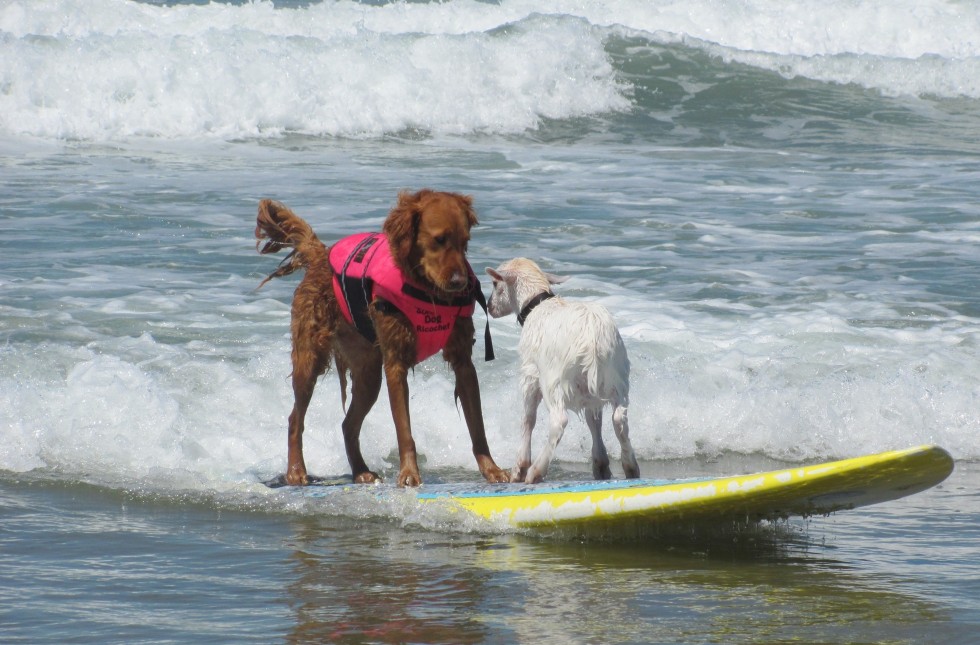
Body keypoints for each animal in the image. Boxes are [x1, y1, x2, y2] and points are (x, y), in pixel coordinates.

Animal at [256, 189, 510, 486]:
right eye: (439, 239)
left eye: (465, 242)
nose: (461, 283)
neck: (425, 288)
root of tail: (320, 255)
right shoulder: (395, 363)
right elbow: (404, 430)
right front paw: (409, 473)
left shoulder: (463, 361)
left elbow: (478, 427)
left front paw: (491, 468)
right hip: (310, 357)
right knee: (295, 418)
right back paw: (296, 471)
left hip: (368, 373)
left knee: (348, 424)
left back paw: (360, 470)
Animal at [484, 256, 640, 484]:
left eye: (496, 284)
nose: (489, 307)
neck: (538, 303)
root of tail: (591, 339)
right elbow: (594, 422)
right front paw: (601, 464)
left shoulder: (530, 373)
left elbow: (528, 419)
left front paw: (519, 468)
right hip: (614, 377)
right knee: (618, 419)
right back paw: (631, 467)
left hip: (555, 379)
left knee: (558, 421)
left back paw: (536, 471)